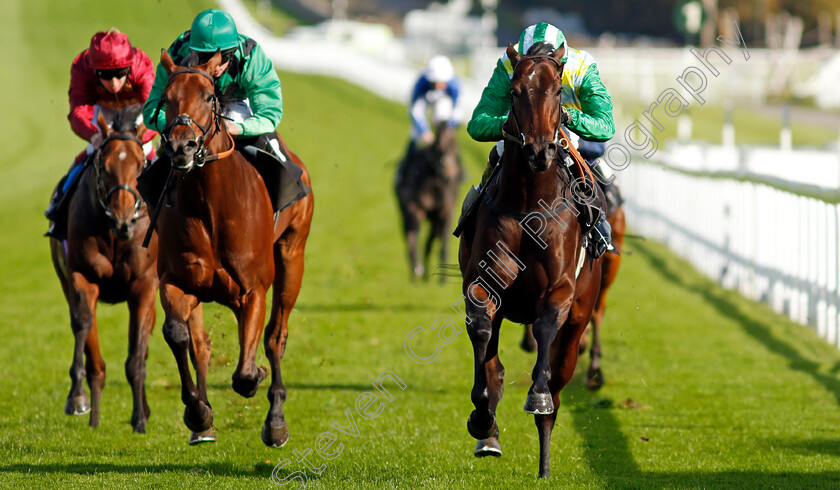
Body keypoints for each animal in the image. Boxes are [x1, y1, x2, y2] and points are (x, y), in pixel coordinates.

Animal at [49, 104, 159, 432]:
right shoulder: (81, 277)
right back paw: (93, 410)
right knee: (92, 346)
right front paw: (76, 397)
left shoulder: (144, 284)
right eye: (105, 167)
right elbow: (83, 325)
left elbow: (137, 353)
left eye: (139, 167)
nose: (123, 221)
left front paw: (139, 417)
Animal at [152, 51, 316, 446]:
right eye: (166, 98)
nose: (181, 147)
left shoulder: (253, 290)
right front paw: (198, 412)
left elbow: (245, 373)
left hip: (292, 256)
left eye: (209, 96)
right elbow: (178, 336)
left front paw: (258, 378)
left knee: (276, 336)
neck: (211, 205)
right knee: (201, 344)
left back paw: (275, 420)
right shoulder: (177, 282)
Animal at [396, 119, 462, 280]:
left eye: (456, 146)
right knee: (411, 237)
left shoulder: (444, 213)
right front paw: (417, 267)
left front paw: (442, 279)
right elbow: (414, 231)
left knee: (430, 242)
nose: (451, 175)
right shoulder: (412, 207)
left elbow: (441, 242)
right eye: (440, 144)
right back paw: (417, 269)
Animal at [460, 45, 604, 478]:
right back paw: (489, 436)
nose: (540, 151)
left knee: (558, 386)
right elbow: (481, 333)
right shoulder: (481, 284)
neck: (528, 207)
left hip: (580, 320)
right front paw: (482, 418)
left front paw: (536, 396)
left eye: (558, 91)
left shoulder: (560, 290)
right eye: (515, 90)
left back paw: (544, 465)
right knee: (495, 362)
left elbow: (543, 329)